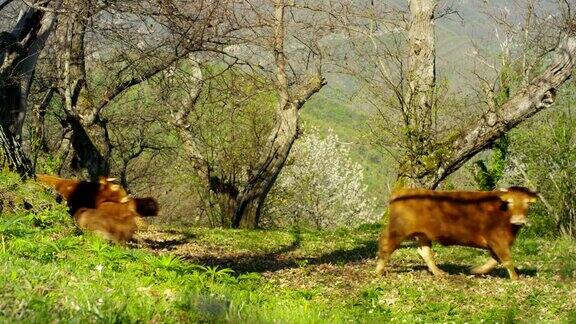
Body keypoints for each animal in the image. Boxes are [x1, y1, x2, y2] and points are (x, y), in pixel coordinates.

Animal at [376, 186, 536, 280]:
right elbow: (506, 259)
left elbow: (495, 259)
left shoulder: (498, 243)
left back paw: (439, 273)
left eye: (528, 203)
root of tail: (401, 191)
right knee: (386, 245)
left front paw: (476, 270)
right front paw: (515, 278)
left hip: (423, 235)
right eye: (509, 202)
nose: (519, 219)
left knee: (425, 253)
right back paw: (378, 271)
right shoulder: (497, 239)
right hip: (398, 230)